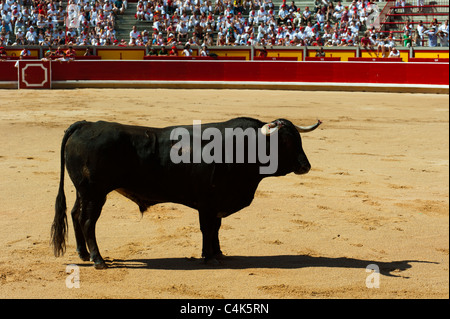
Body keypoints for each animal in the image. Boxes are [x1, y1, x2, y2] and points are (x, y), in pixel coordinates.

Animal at [51, 117, 320, 270]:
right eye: (285, 142)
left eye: (298, 139)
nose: (305, 166)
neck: (243, 147)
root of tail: (85, 125)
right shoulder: (208, 203)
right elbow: (208, 229)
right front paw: (209, 257)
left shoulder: (215, 204)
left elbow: (216, 229)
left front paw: (218, 253)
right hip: (95, 193)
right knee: (88, 221)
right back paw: (98, 260)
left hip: (84, 192)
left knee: (75, 215)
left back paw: (83, 254)